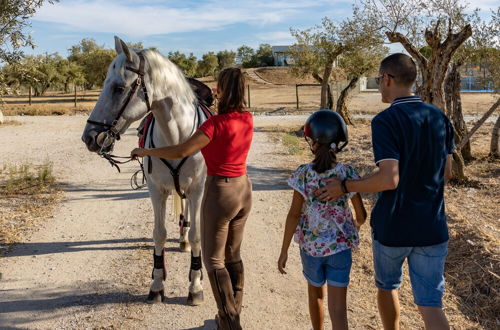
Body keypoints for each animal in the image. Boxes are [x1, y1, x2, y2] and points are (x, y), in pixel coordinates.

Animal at [81, 37, 205, 306]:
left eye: (118, 88)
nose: (89, 137)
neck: (177, 137)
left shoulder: (197, 189)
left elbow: (197, 236)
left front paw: (195, 286)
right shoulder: (156, 190)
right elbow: (159, 234)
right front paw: (157, 284)